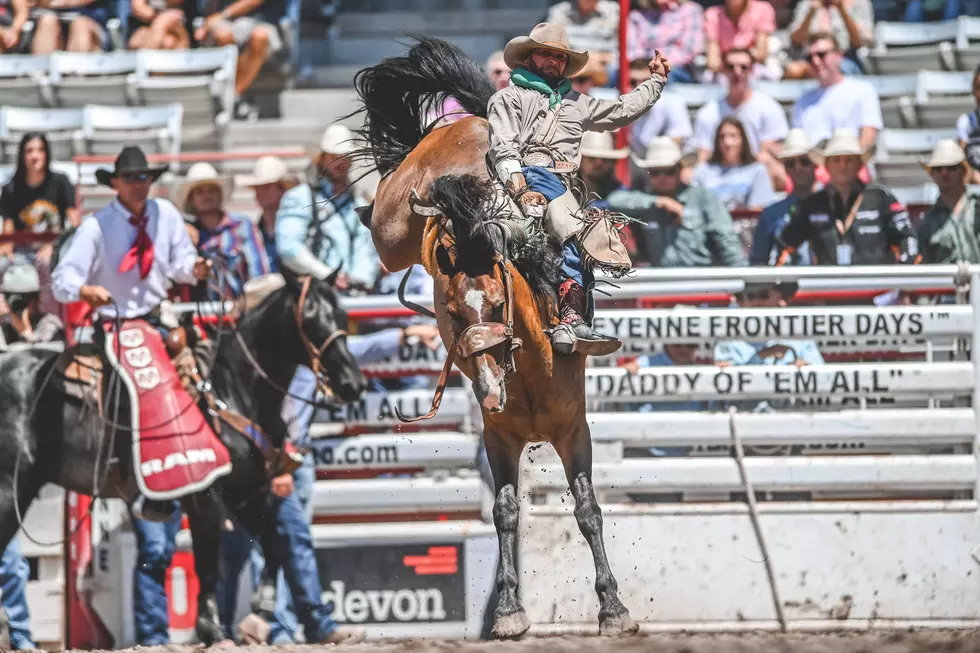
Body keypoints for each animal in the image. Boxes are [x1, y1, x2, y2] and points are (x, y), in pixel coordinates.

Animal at [0, 268, 366, 644]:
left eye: (341, 315)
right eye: (309, 319)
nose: (352, 383)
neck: (229, 390)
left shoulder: (247, 494)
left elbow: (276, 546)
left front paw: (259, 615)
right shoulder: (206, 497)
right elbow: (207, 563)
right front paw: (212, 630)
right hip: (11, 489)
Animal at [348, 38, 640, 640]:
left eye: (501, 305)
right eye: (451, 313)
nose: (488, 392)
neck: (524, 372)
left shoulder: (575, 429)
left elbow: (587, 509)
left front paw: (613, 607)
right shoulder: (497, 437)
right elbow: (505, 512)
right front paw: (507, 610)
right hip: (392, 230)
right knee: (384, 215)